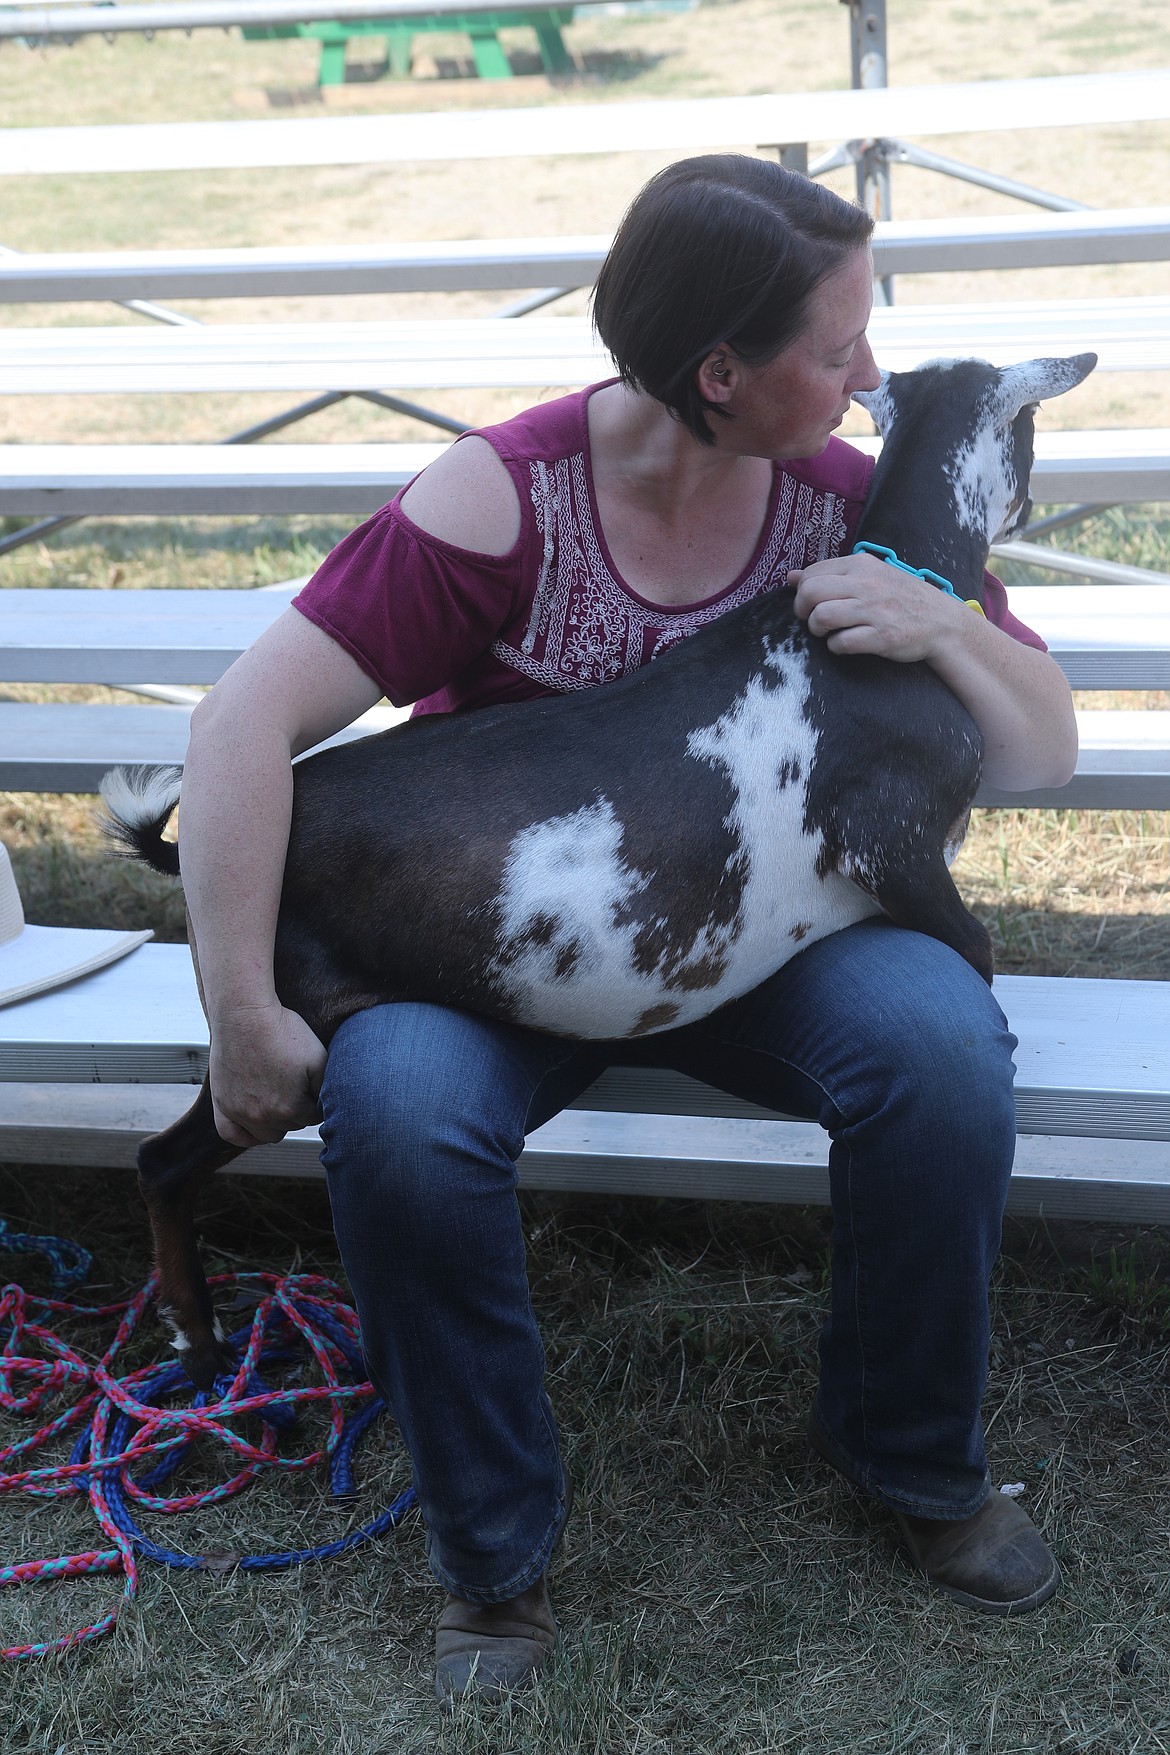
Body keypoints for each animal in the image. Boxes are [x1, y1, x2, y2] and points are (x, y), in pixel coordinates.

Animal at [103, 349, 1101, 1389]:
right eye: (1031, 428)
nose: (1034, 501)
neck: (886, 602)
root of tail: (207, 846)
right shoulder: (897, 848)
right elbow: (977, 949)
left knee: (162, 1160)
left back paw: (198, 1341)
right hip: (279, 1036)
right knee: (167, 1158)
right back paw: (199, 1332)